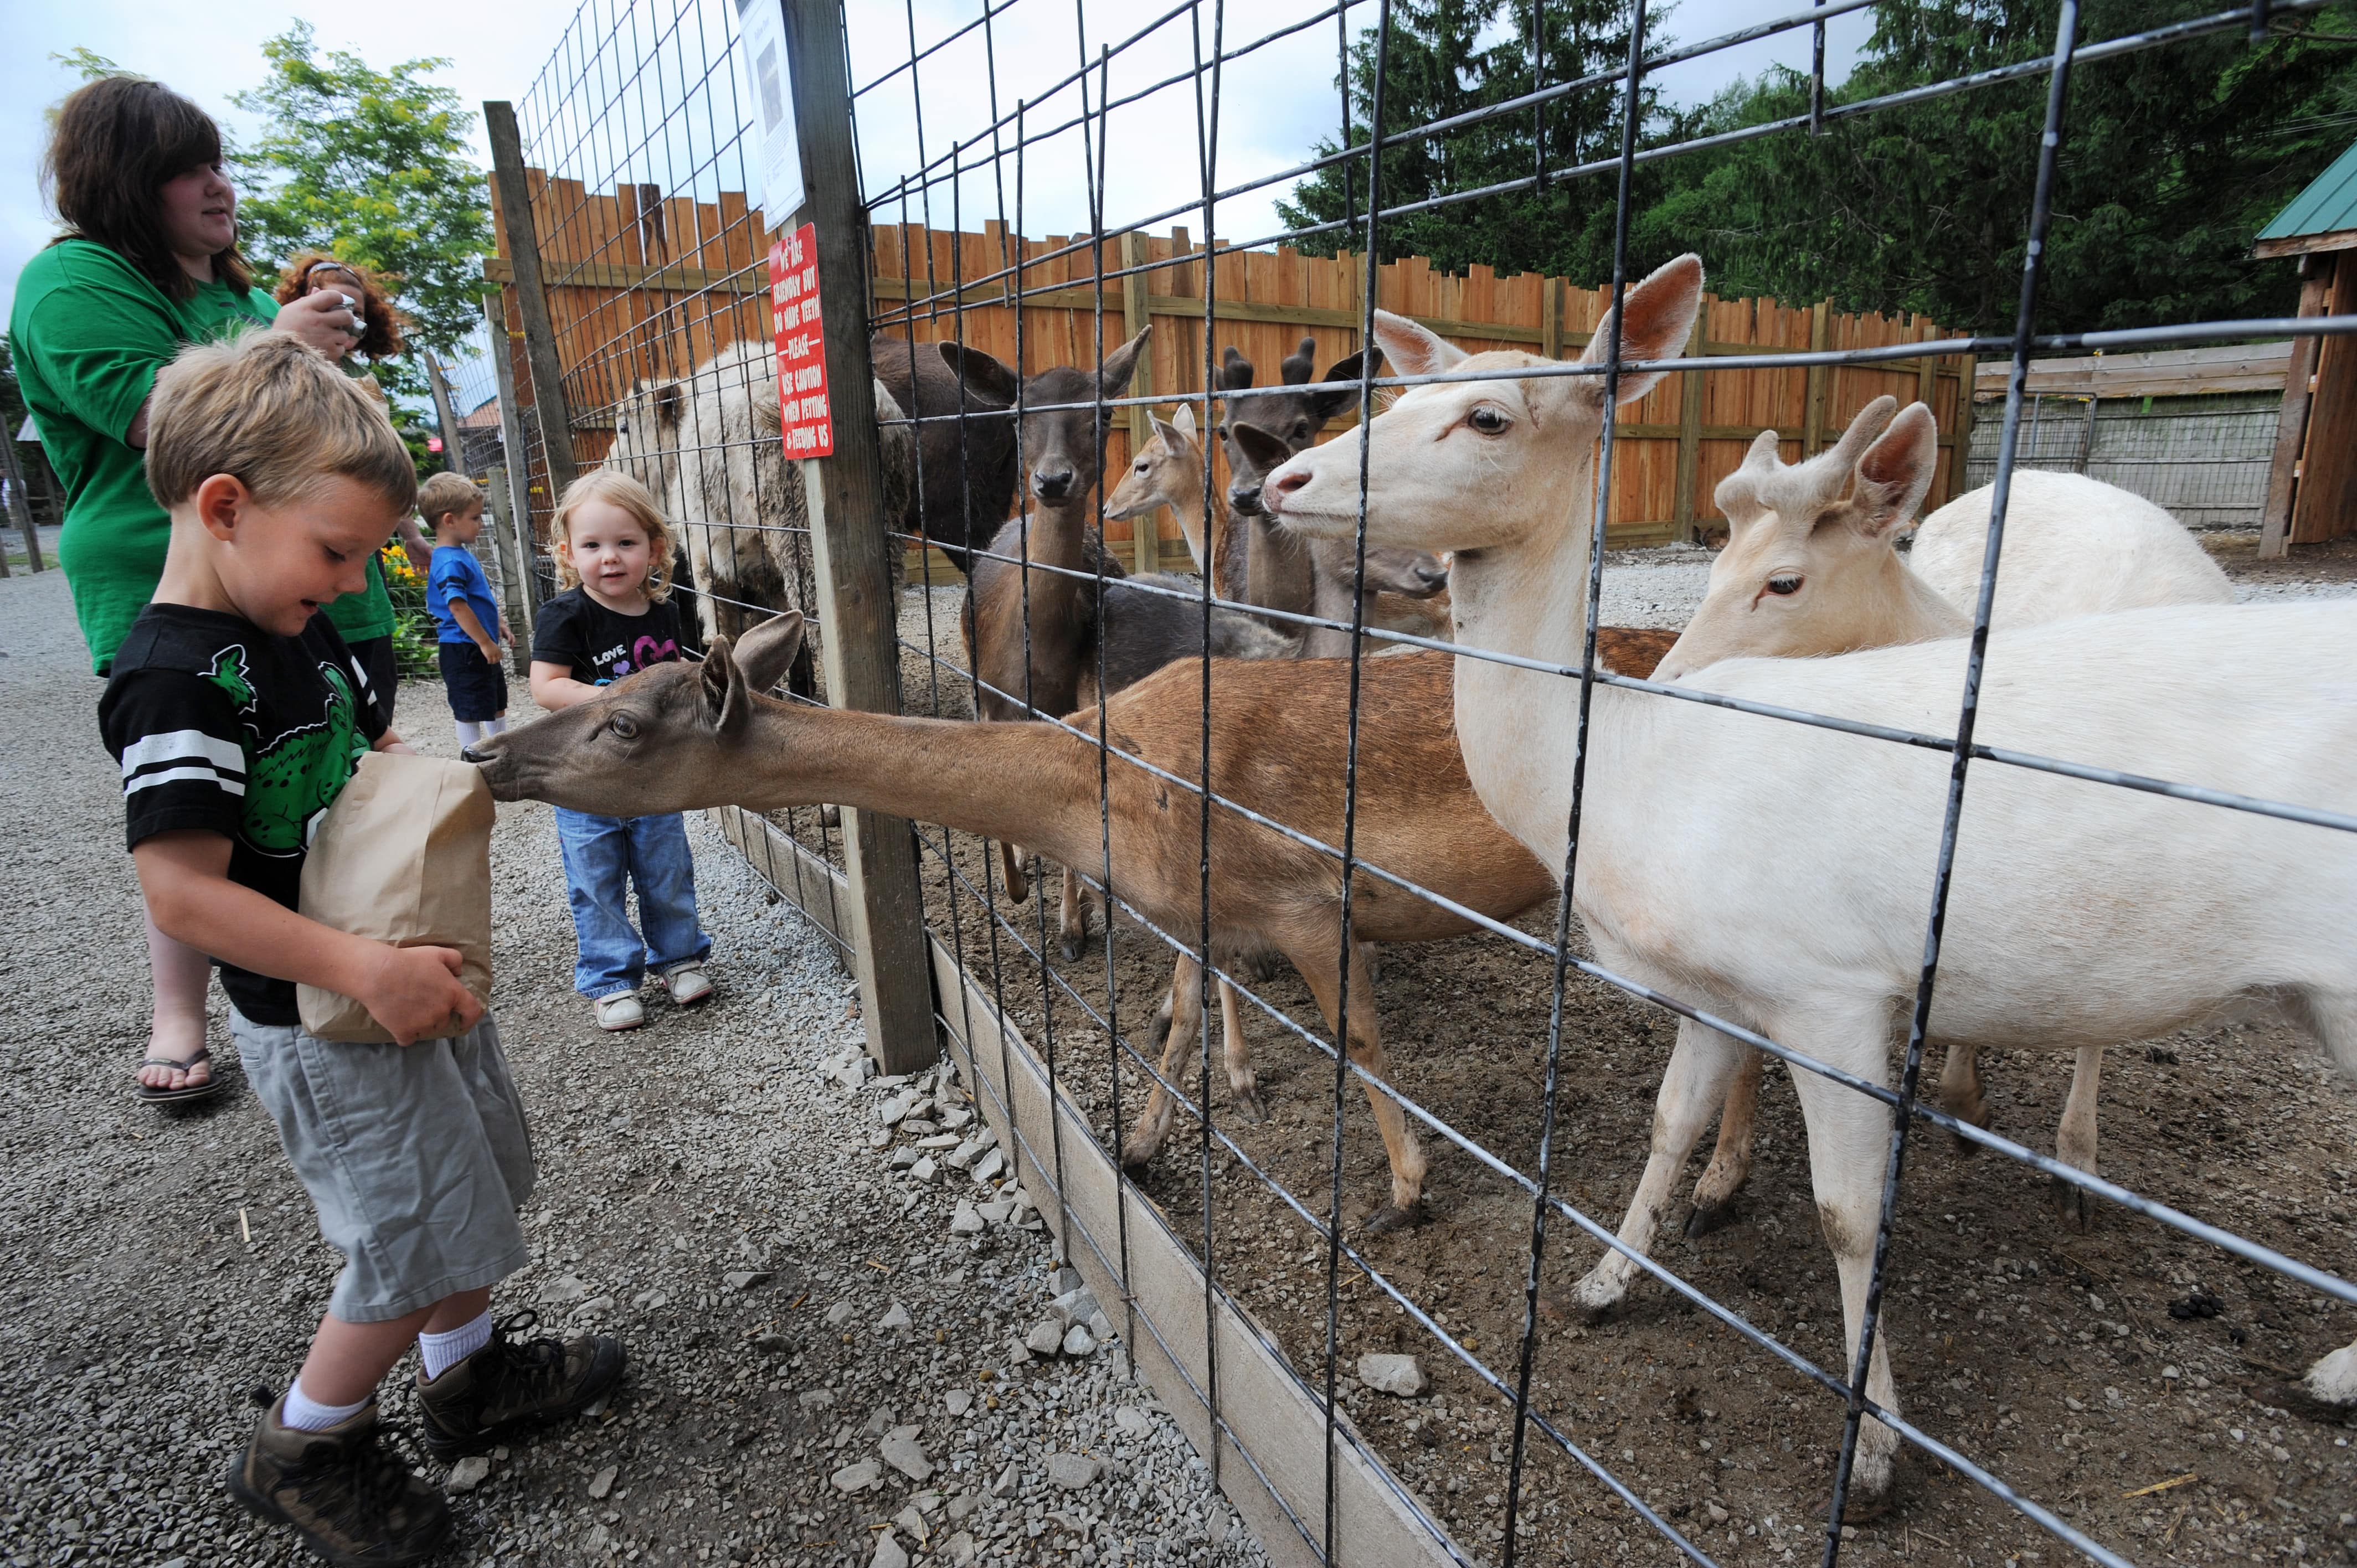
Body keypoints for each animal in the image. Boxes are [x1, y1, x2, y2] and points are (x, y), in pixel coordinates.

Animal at [1263, 257, 2357, 1490]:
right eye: (1402, 395)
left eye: (1489, 416)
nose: (1282, 479)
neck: (1634, 773)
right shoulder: (1714, 987)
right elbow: (1669, 1124)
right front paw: (1602, 1282)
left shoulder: (1829, 989)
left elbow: (1847, 1216)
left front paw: (1875, 1451)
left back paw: (2305, 1358)